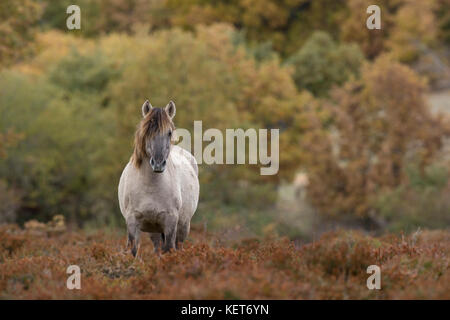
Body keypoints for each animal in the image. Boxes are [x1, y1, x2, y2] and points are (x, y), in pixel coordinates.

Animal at [118, 99, 199, 256]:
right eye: (147, 131)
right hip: (154, 230)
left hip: (183, 227)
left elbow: (169, 250)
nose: (158, 163)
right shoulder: (132, 222)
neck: (150, 186)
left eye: (169, 132)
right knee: (156, 249)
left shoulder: (170, 222)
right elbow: (133, 251)